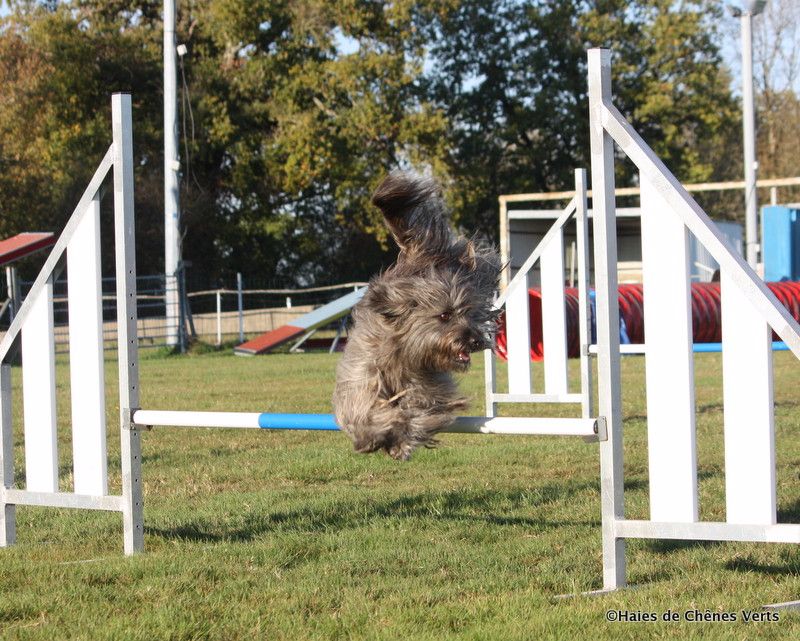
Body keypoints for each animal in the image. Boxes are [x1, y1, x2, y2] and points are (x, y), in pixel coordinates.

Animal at [332, 171, 500, 460]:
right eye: (444, 316)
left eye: (468, 312)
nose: (475, 340)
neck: (403, 353)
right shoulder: (361, 375)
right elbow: (362, 409)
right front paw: (373, 435)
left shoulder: (428, 389)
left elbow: (419, 413)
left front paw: (400, 440)